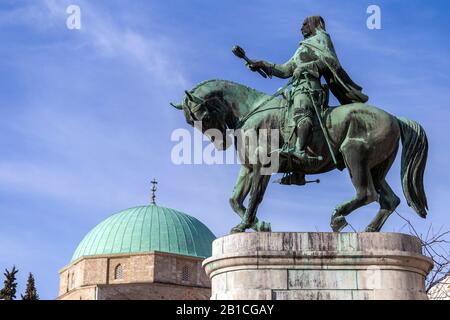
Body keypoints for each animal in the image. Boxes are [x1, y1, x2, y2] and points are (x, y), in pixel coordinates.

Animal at [170, 79, 428, 234]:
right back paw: (369, 231)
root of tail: (394, 118)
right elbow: (235, 199)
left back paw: (337, 217)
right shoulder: (248, 168)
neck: (252, 111)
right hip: (376, 169)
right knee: (389, 200)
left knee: (367, 194)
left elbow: (254, 198)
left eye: (202, 116)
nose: (221, 143)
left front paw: (249, 224)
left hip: (355, 157)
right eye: (190, 122)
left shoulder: (263, 166)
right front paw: (255, 225)